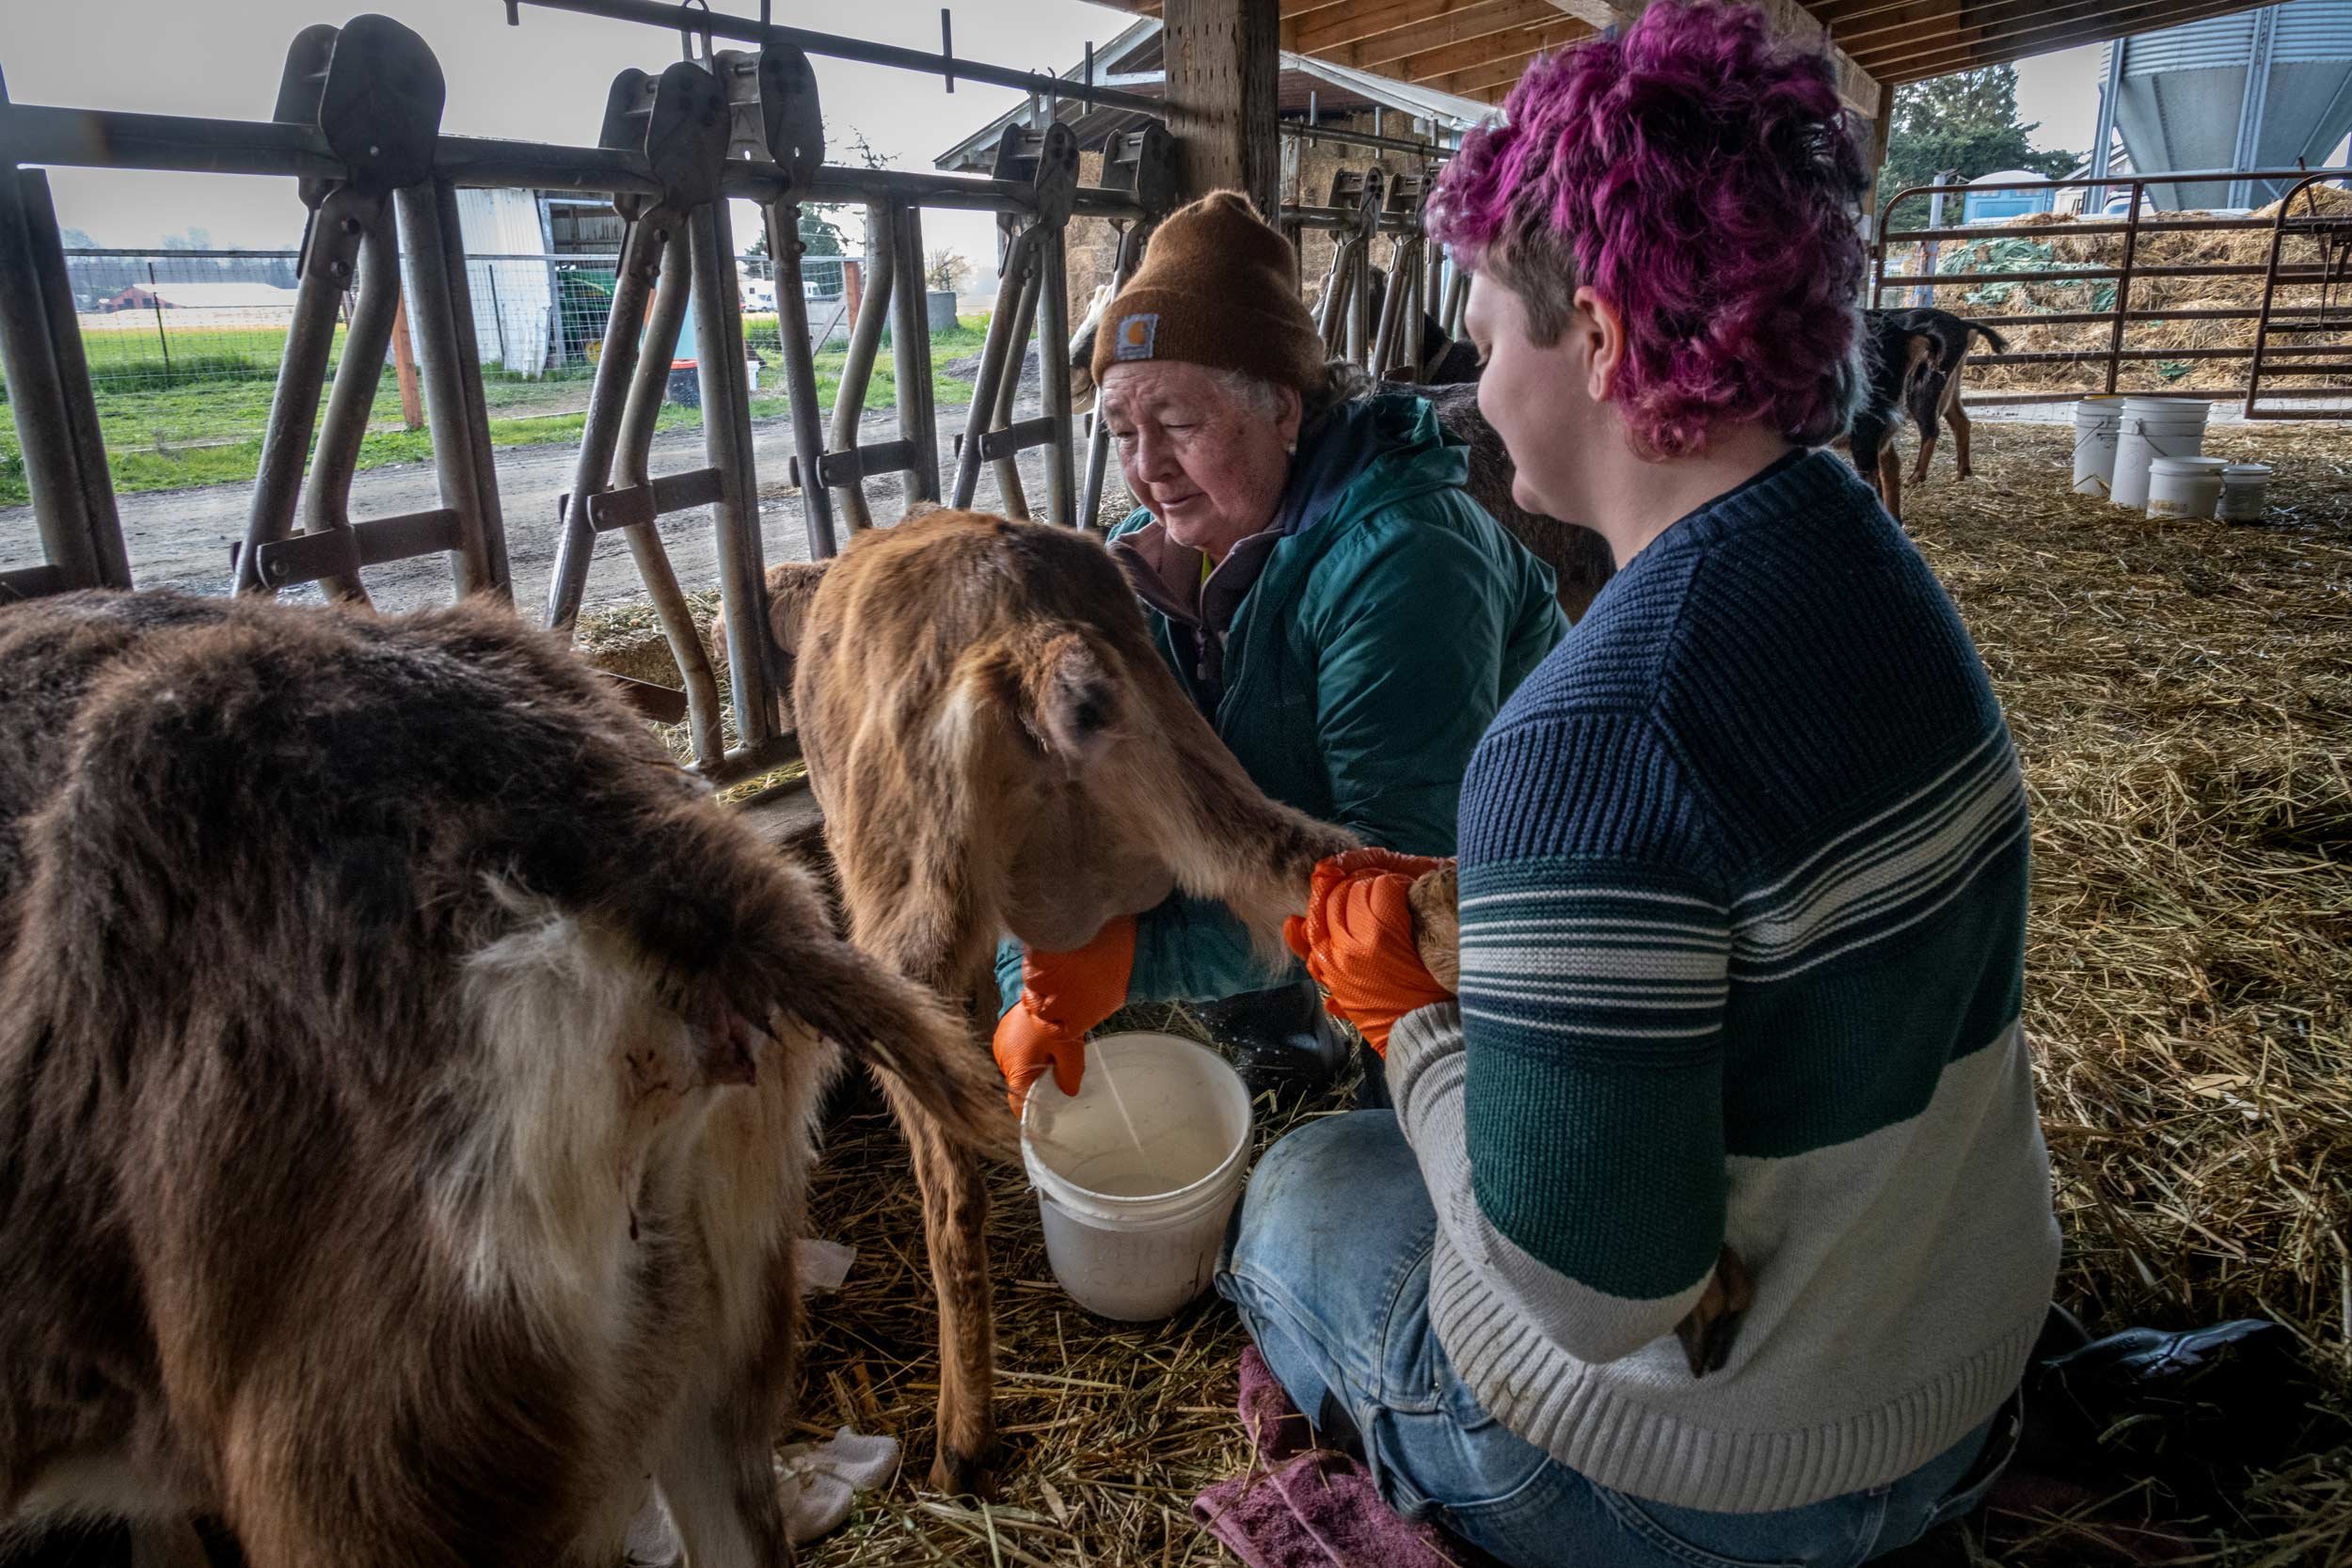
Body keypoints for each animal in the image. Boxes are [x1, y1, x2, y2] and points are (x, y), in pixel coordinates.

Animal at [753, 515, 1364, 1495]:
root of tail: (1029, 633)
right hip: (1208, 789)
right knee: (1353, 869)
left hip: (904, 911)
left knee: (952, 1195)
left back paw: (960, 1443)